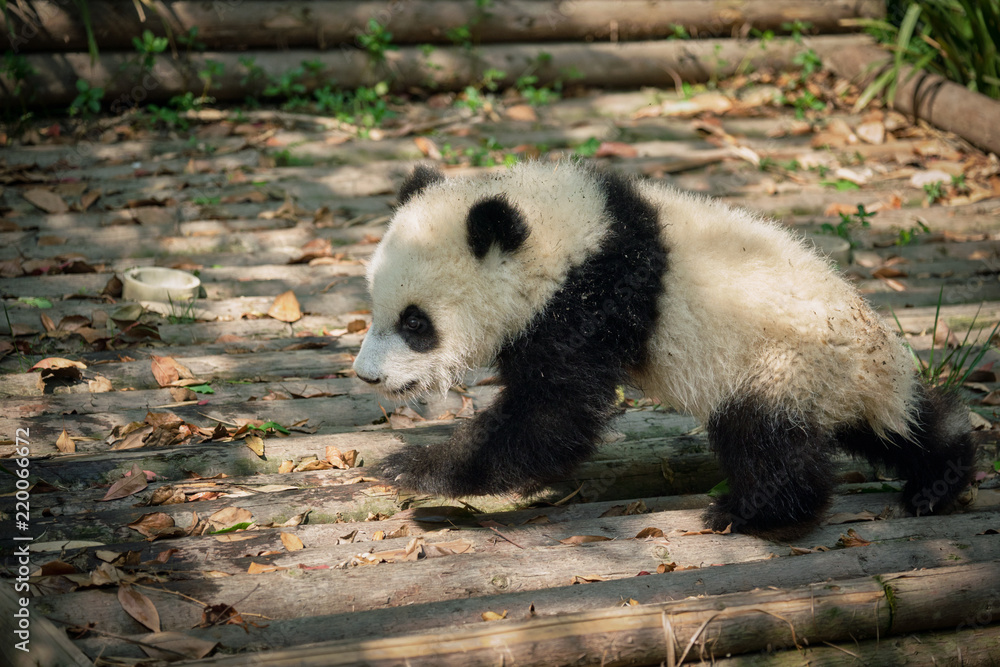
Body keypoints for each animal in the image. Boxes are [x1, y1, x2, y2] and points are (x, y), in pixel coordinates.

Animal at [352, 161, 975, 540]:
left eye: (415, 323)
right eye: (375, 304)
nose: (366, 377)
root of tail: (870, 376)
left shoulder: (588, 302)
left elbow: (551, 418)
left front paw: (414, 470)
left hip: (784, 362)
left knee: (762, 435)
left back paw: (752, 512)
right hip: (841, 380)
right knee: (899, 427)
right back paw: (939, 479)